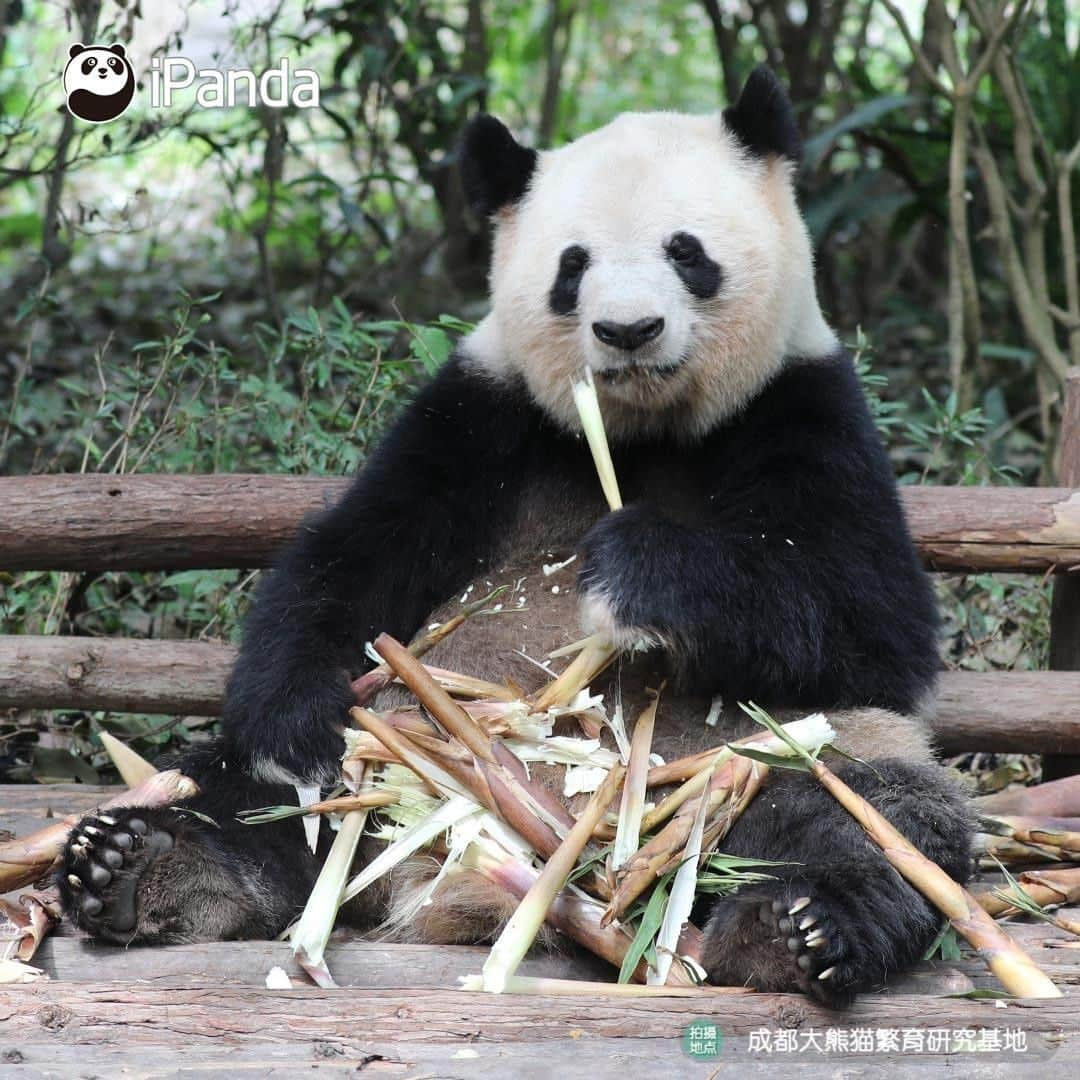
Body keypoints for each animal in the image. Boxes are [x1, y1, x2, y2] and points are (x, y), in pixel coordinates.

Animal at [56, 71, 972, 1006]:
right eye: (573, 265)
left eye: (687, 251)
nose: (629, 331)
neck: (641, 433)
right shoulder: (481, 417)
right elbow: (351, 563)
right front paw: (294, 724)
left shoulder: (804, 408)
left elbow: (870, 621)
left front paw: (635, 569)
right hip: (382, 757)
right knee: (244, 794)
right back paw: (144, 868)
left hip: (758, 760)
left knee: (874, 817)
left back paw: (796, 929)